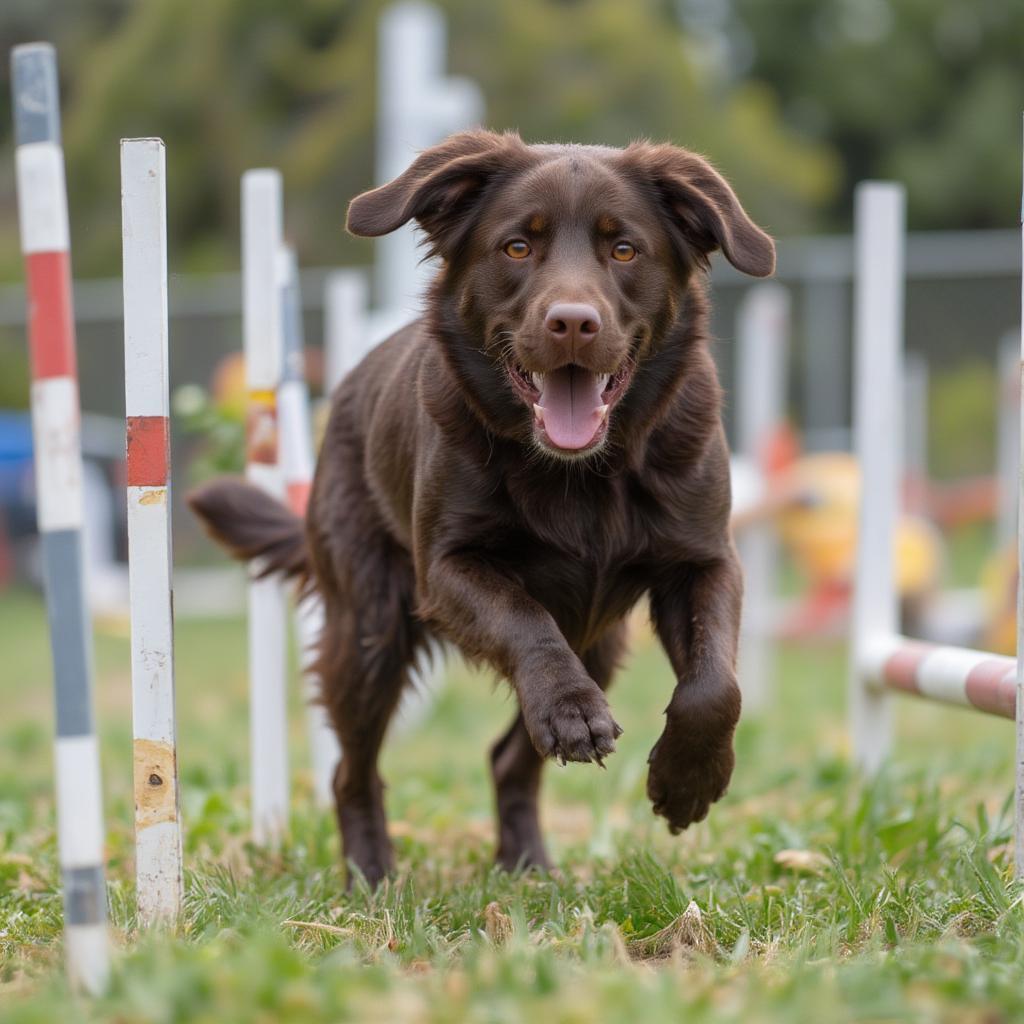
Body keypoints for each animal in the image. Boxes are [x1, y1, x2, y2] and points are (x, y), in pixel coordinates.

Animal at [188, 128, 770, 884]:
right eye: (517, 247)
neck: (581, 475)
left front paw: (687, 780)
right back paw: (371, 876)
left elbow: (716, 685)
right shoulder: (446, 571)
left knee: (508, 758)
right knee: (352, 770)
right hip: (370, 628)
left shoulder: (704, 562)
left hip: (600, 639)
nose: (572, 323)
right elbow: (525, 619)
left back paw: (527, 864)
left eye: (624, 249)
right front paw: (572, 710)